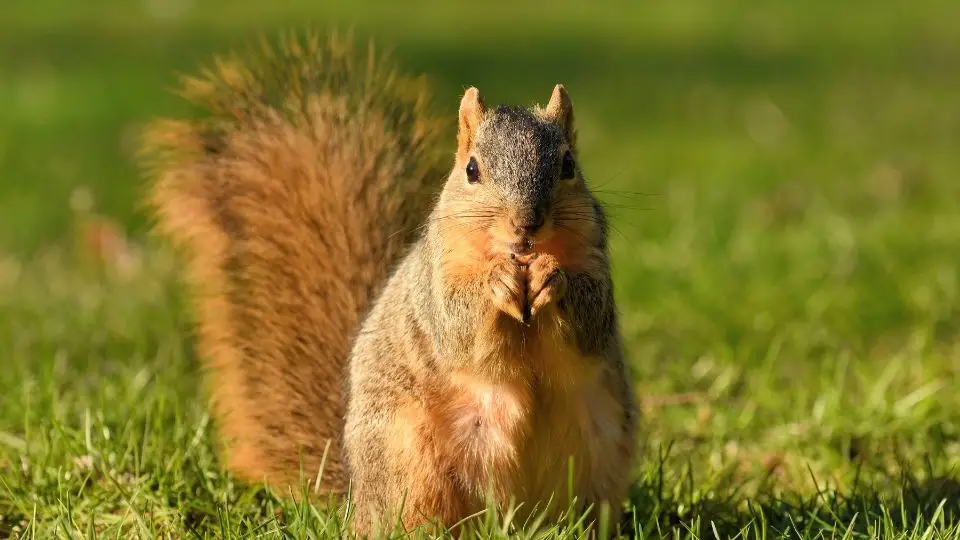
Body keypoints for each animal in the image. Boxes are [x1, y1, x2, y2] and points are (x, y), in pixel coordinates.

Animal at [141, 33, 636, 536]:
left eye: (569, 164)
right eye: (471, 170)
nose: (526, 224)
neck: (518, 256)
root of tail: (358, 504)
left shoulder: (594, 259)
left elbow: (591, 321)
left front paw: (553, 277)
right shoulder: (436, 280)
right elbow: (457, 327)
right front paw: (494, 284)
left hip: (600, 454)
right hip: (410, 465)